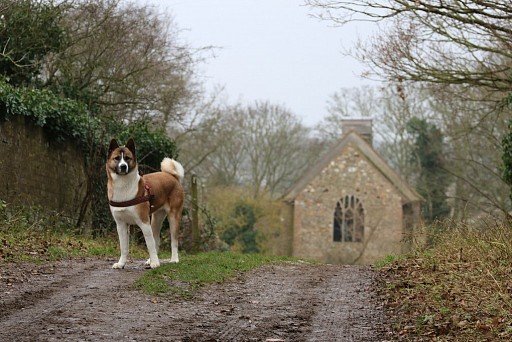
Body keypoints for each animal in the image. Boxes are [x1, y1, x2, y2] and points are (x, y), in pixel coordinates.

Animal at [106, 138, 184, 268]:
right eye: (117, 158)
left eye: (127, 158)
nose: (123, 166)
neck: (123, 185)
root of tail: (172, 176)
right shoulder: (121, 225)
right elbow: (124, 247)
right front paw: (121, 264)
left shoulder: (144, 222)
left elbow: (149, 244)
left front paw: (155, 263)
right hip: (156, 219)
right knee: (156, 239)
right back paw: (150, 260)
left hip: (173, 217)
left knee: (174, 240)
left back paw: (173, 259)